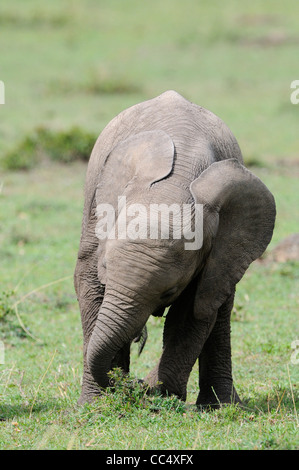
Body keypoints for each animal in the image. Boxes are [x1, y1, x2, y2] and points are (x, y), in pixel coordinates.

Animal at [75, 90, 276, 406]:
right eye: (105, 267)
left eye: (169, 292)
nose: (132, 384)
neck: (173, 186)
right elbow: (90, 288)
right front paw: (96, 404)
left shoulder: (210, 252)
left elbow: (192, 313)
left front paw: (159, 394)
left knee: (217, 307)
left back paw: (220, 406)